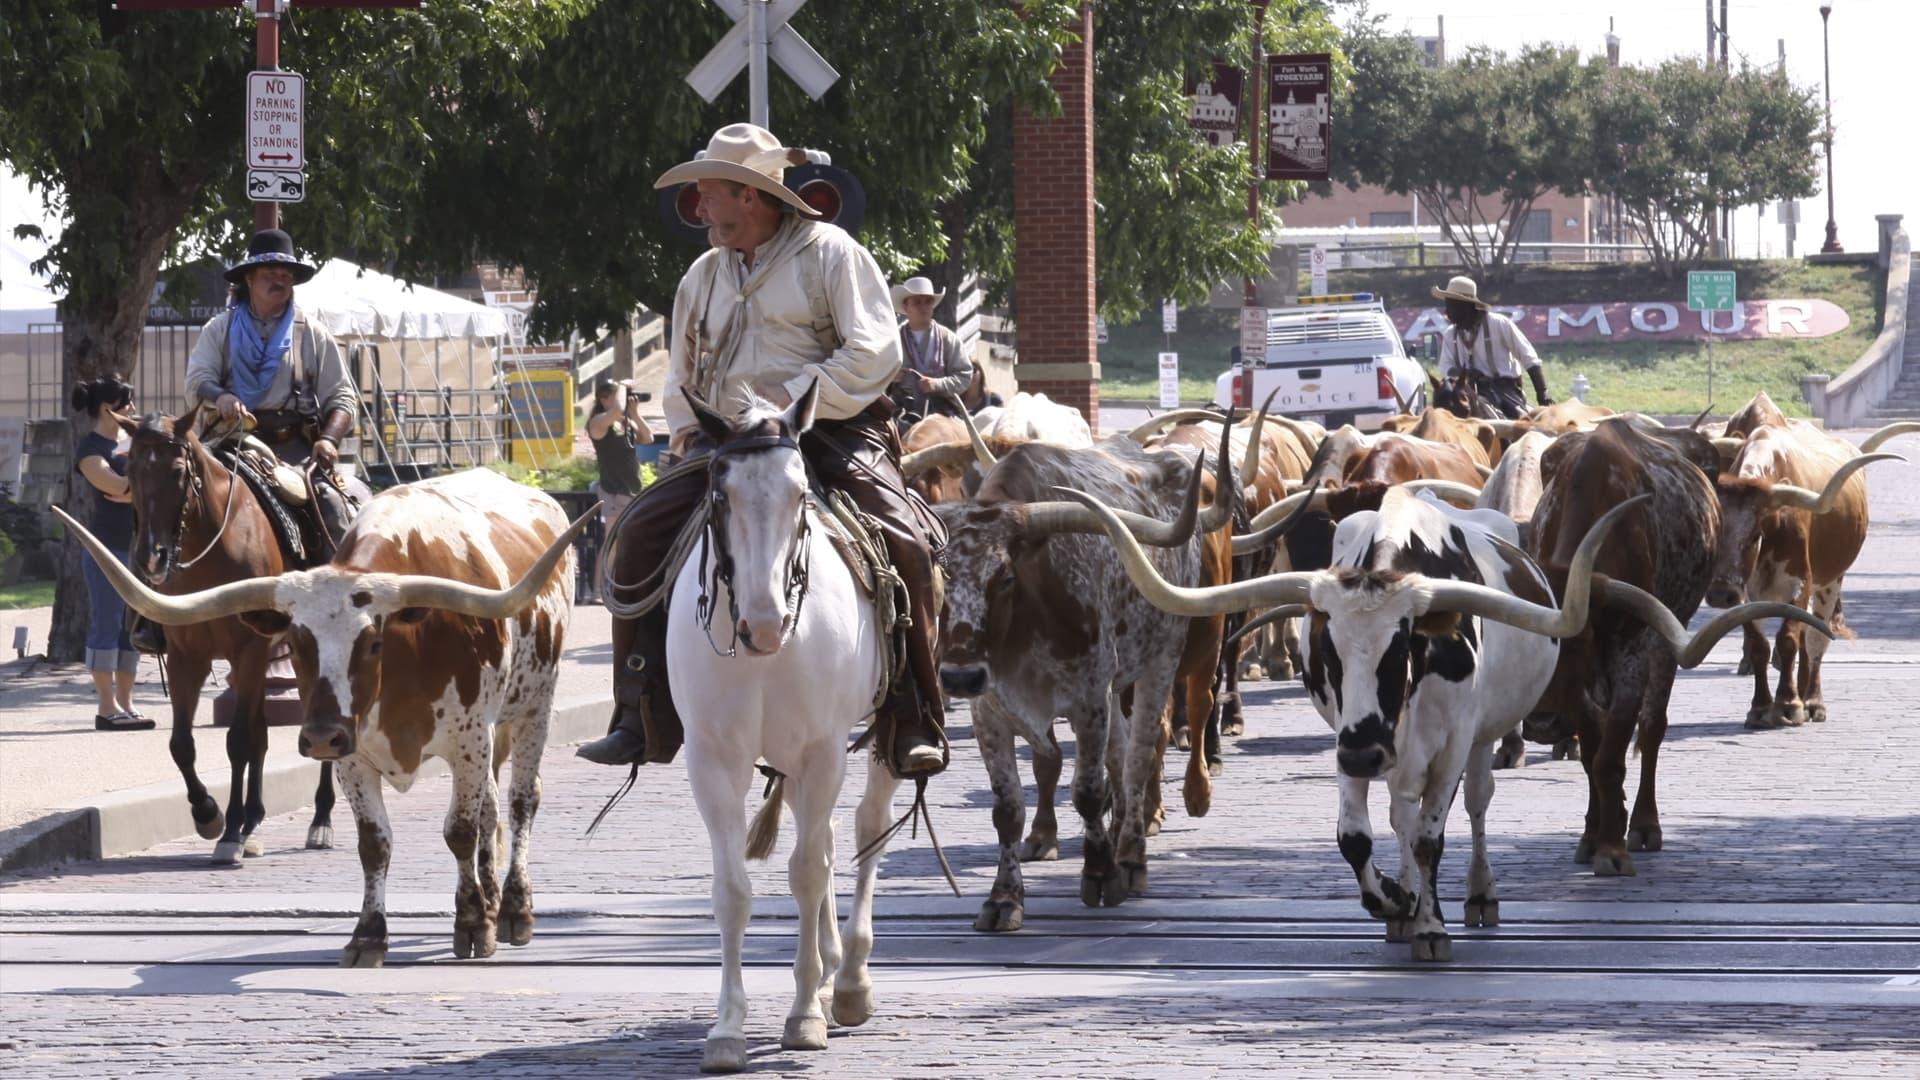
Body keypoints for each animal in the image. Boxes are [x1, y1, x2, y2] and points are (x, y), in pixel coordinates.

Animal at [121, 407, 336, 860]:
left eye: (178, 471)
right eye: (129, 468)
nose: (151, 558)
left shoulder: (249, 649)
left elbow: (237, 741)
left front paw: (232, 830)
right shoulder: (188, 656)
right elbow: (182, 744)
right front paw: (208, 814)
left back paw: (320, 820)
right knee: (262, 732)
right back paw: (255, 818)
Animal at [672, 378, 902, 1068]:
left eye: (801, 494)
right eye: (720, 495)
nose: (766, 623)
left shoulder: (823, 749)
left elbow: (805, 872)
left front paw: (803, 1014)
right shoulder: (712, 760)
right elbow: (733, 890)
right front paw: (727, 1027)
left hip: (882, 734)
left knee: (862, 829)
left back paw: (848, 981)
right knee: (820, 836)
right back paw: (828, 969)